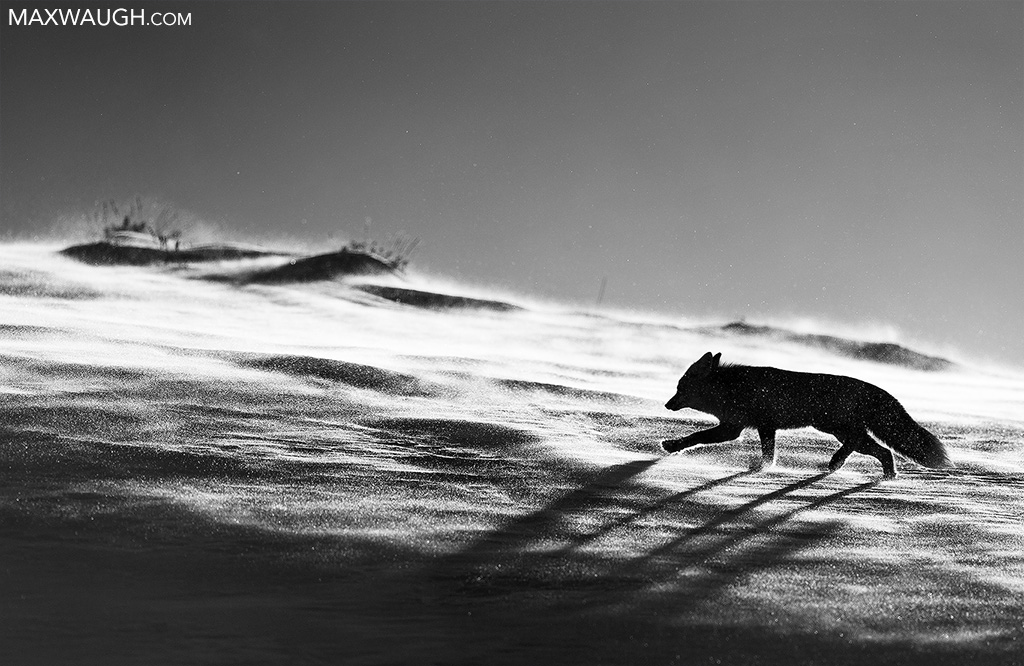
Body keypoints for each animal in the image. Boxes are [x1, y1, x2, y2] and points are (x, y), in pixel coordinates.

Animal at [662, 352, 951, 478]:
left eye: (679, 388)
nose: (667, 405)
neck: (730, 389)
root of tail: (870, 386)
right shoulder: (759, 427)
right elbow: (769, 453)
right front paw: (764, 468)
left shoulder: (734, 428)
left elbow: (696, 436)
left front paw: (672, 446)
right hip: (838, 430)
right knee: (883, 451)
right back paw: (887, 477)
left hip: (831, 426)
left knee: (861, 443)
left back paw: (837, 462)